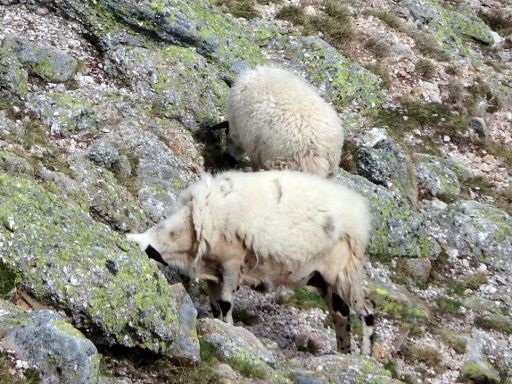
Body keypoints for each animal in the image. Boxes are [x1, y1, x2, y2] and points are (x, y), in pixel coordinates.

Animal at [127, 170, 376, 356]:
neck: (190, 227)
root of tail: (359, 217)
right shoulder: (213, 272)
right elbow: (215, 305)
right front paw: (219, 327)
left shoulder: (231, 264)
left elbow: (226, 303)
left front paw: (230, 329)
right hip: (322, 279)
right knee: (341, 313)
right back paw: (344, 352)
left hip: (343, 272)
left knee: (366, 309)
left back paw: (364, 354)